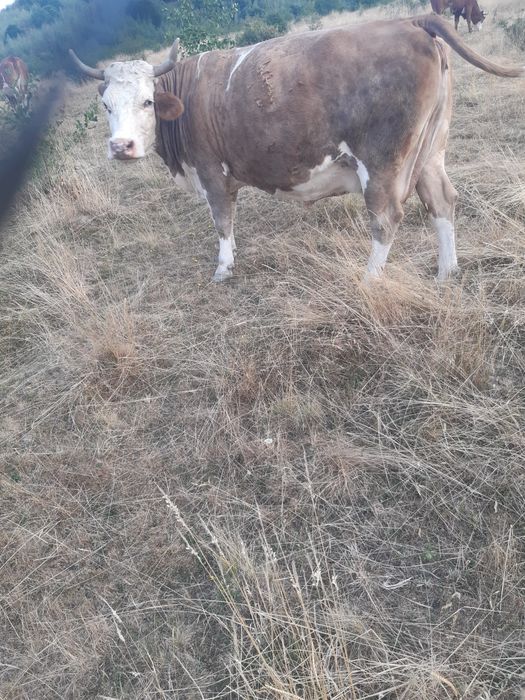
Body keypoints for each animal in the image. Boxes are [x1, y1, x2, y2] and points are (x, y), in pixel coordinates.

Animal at [69, 15, 523, 283]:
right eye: (106, 106)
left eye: (147, 101)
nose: (121, 146)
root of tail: (410, 20)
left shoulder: (211, 172)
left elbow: (221, 221)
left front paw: (224, 267)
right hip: (431, 152)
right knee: (442, 201)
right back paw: (447, 271)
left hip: (383, 162)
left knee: (387, 217)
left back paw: (369, 279)